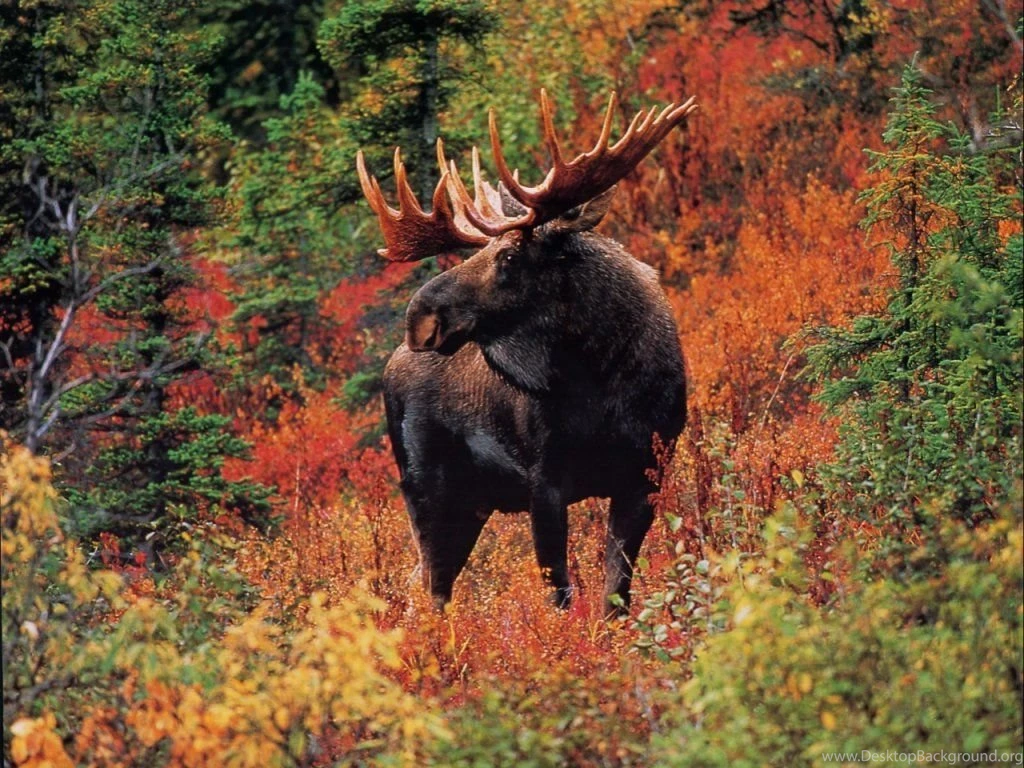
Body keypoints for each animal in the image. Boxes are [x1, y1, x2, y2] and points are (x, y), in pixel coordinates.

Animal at [356, 89, 696, 616]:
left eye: (509, 256)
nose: (420, 318)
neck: (606, 380)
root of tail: (391, 365)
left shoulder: (646, 472)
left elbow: (616, 591)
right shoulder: (545, 480)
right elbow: (560, 594)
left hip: (470, 503)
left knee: (421, 584)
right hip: (425, 487)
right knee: (431, 589)